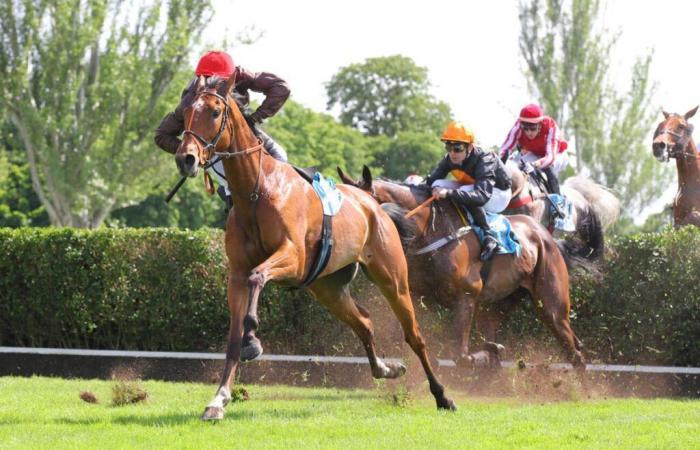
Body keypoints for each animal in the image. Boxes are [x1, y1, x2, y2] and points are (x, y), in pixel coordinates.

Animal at [176, 75, 454, 420]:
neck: (256, 191)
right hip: (328, 289)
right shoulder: (236, 275)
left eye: (215, 112)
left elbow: (258, 277)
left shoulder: (292, 258)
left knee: (414, 336)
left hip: (393, 280)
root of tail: (371, 203)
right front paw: (219, 399)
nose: (185, 158)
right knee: (364, 323)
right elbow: (232, 338)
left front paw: (252, 339)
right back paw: (386, 369)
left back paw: (443, 395)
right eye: (186, 112)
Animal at [338, 167, 584, 370]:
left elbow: (461, 356)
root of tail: (545, 235)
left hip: (551, 305)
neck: (429, 231)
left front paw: (489, 351)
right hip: (496, 306)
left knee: (574, 351)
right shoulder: (418, 295)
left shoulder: (466, 295)